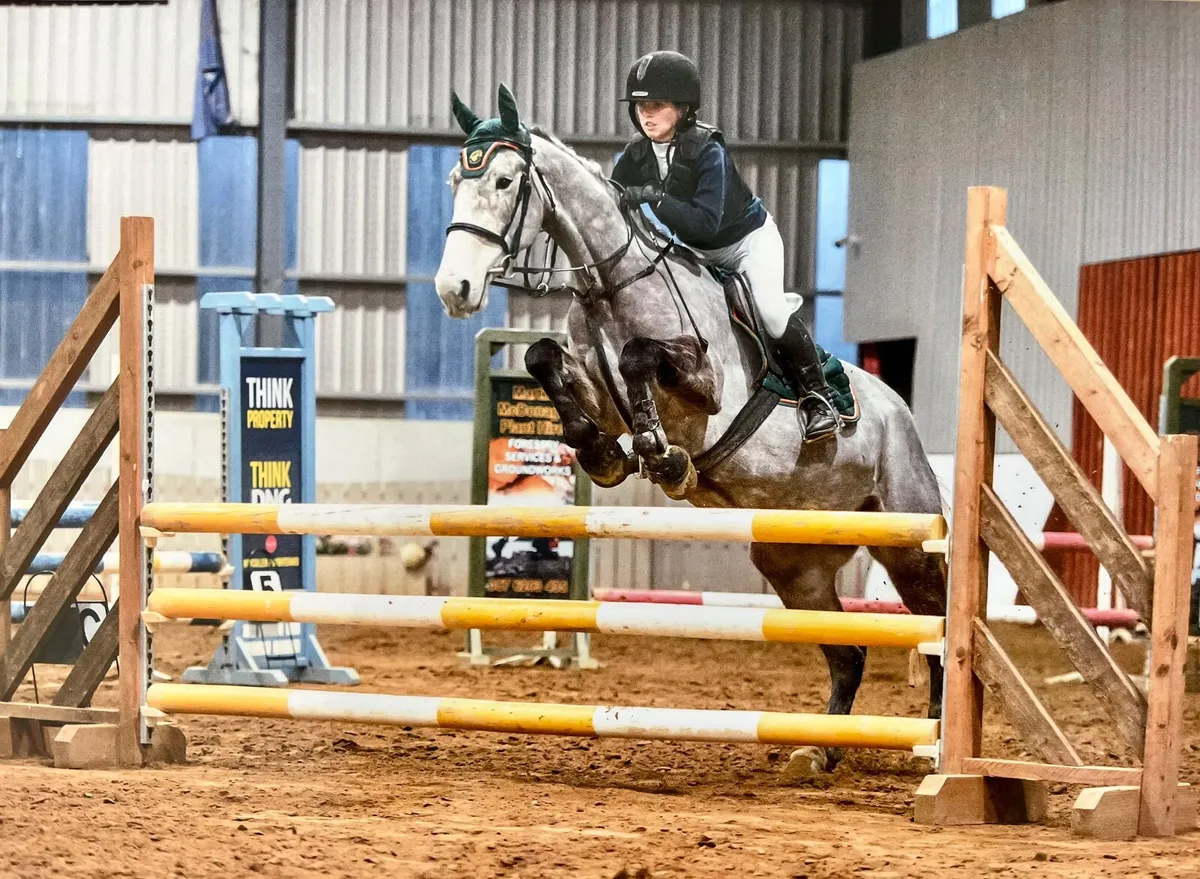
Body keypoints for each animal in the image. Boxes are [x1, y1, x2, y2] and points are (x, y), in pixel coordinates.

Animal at [433, 84, 946, 776]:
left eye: (506, 181)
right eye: (457, 179)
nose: (453, 289)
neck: (613, 283)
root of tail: (901, 411)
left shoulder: (707, 387)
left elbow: (638, 358)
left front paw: (663, 456)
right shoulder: (594, 391)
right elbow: (543, 358)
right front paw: (605, 454)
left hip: (907, 542)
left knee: (939, 629)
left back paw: (935, 745)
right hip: (796, 563)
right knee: (848, 653)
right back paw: (820, 751)